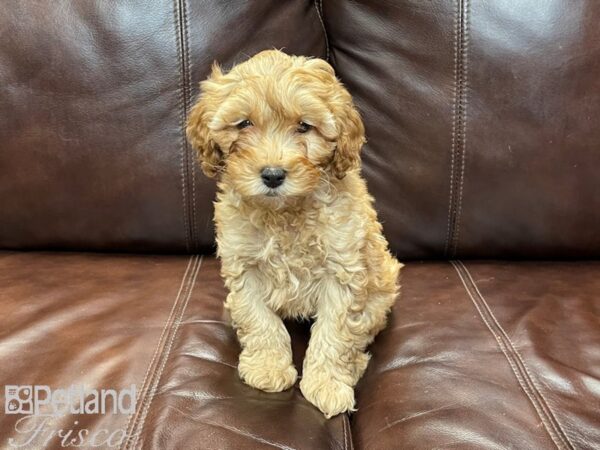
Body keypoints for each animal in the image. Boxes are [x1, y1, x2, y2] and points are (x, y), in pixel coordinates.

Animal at [186, 50, 404, 418]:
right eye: (244, 124)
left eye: (304, 126)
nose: (273, 175)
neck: (285, 213)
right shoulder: (244, 267)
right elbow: (259, 320)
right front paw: (268, 367)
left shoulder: (343, 270)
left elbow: (335, 331)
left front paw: (327, 383)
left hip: (381, 286)